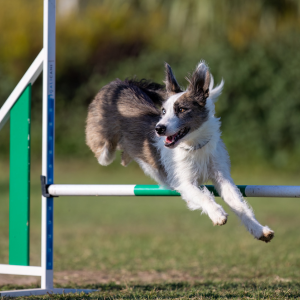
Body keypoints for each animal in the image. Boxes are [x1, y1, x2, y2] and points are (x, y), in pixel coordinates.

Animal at [86, 61, 274, 244]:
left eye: (182, 109)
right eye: (163, 111)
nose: (159, 129)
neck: (195, 146)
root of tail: (123, 83)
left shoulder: (222, 176)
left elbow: (239, 204)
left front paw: (259, 230)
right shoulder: (183, 181)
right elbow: (203, 196)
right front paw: (217, 213)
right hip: (103, 148)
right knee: (105, 151)